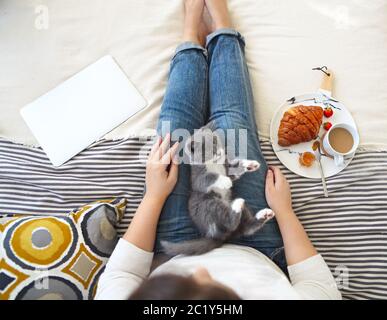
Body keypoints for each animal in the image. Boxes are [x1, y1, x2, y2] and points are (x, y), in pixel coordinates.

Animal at [161, 127, 276, 255]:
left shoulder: (226, 168)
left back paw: (264, 214)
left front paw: (250, 164)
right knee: (230, 223)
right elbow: (208, 178)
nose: (220, 153)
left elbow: (234, 170)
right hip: (207, 203)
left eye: (215, 141)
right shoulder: (197, 177)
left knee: (246, 227)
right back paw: (238, 204)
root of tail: (217, 236)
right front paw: (226, 181)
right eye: (206, 149)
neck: (214, 163)